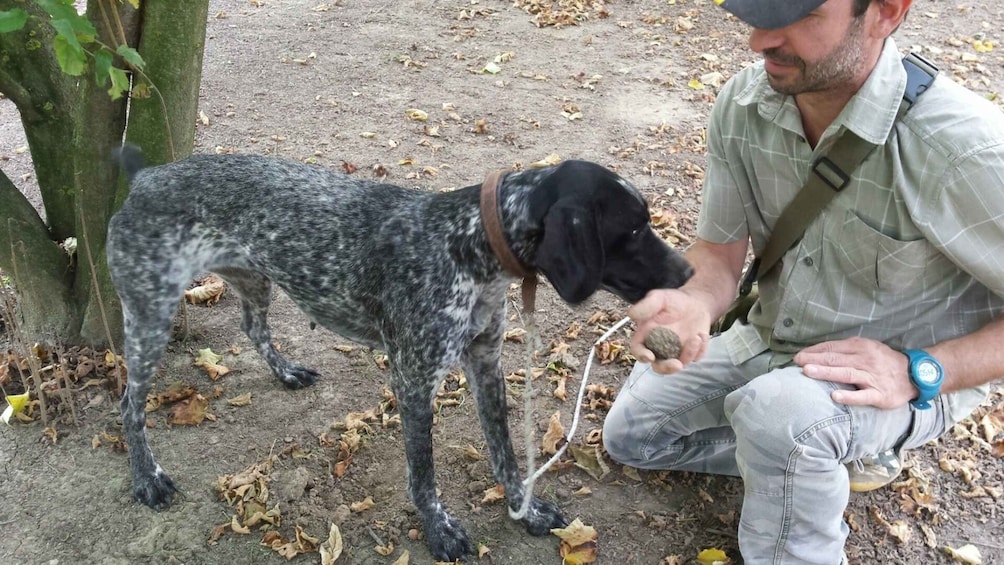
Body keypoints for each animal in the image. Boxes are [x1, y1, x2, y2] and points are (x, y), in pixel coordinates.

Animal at [105, 147, 694, 561]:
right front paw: (439, 529)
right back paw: (146, 479)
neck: (470, 244)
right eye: (633, 227)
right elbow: (424, 474)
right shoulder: (413, 380)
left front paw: (523, 510)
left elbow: (505, 452)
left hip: (254, 280)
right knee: (129, 405)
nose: (690, 272)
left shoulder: (486, 364)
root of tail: (146, 176)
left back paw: (286, 372)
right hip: (150, 315)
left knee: (254, 328)